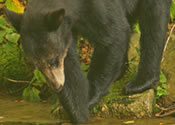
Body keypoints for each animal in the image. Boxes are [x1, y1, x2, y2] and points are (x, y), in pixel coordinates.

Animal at [5, 0, 171, 123]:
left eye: (52, 61)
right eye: (37, 66)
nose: (57, 87)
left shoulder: (97, 7)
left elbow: (113, 36)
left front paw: (89, 97)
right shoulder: (65, 31)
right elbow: (70, 68)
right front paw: (77, 111)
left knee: (154, 20)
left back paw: (141, 82)